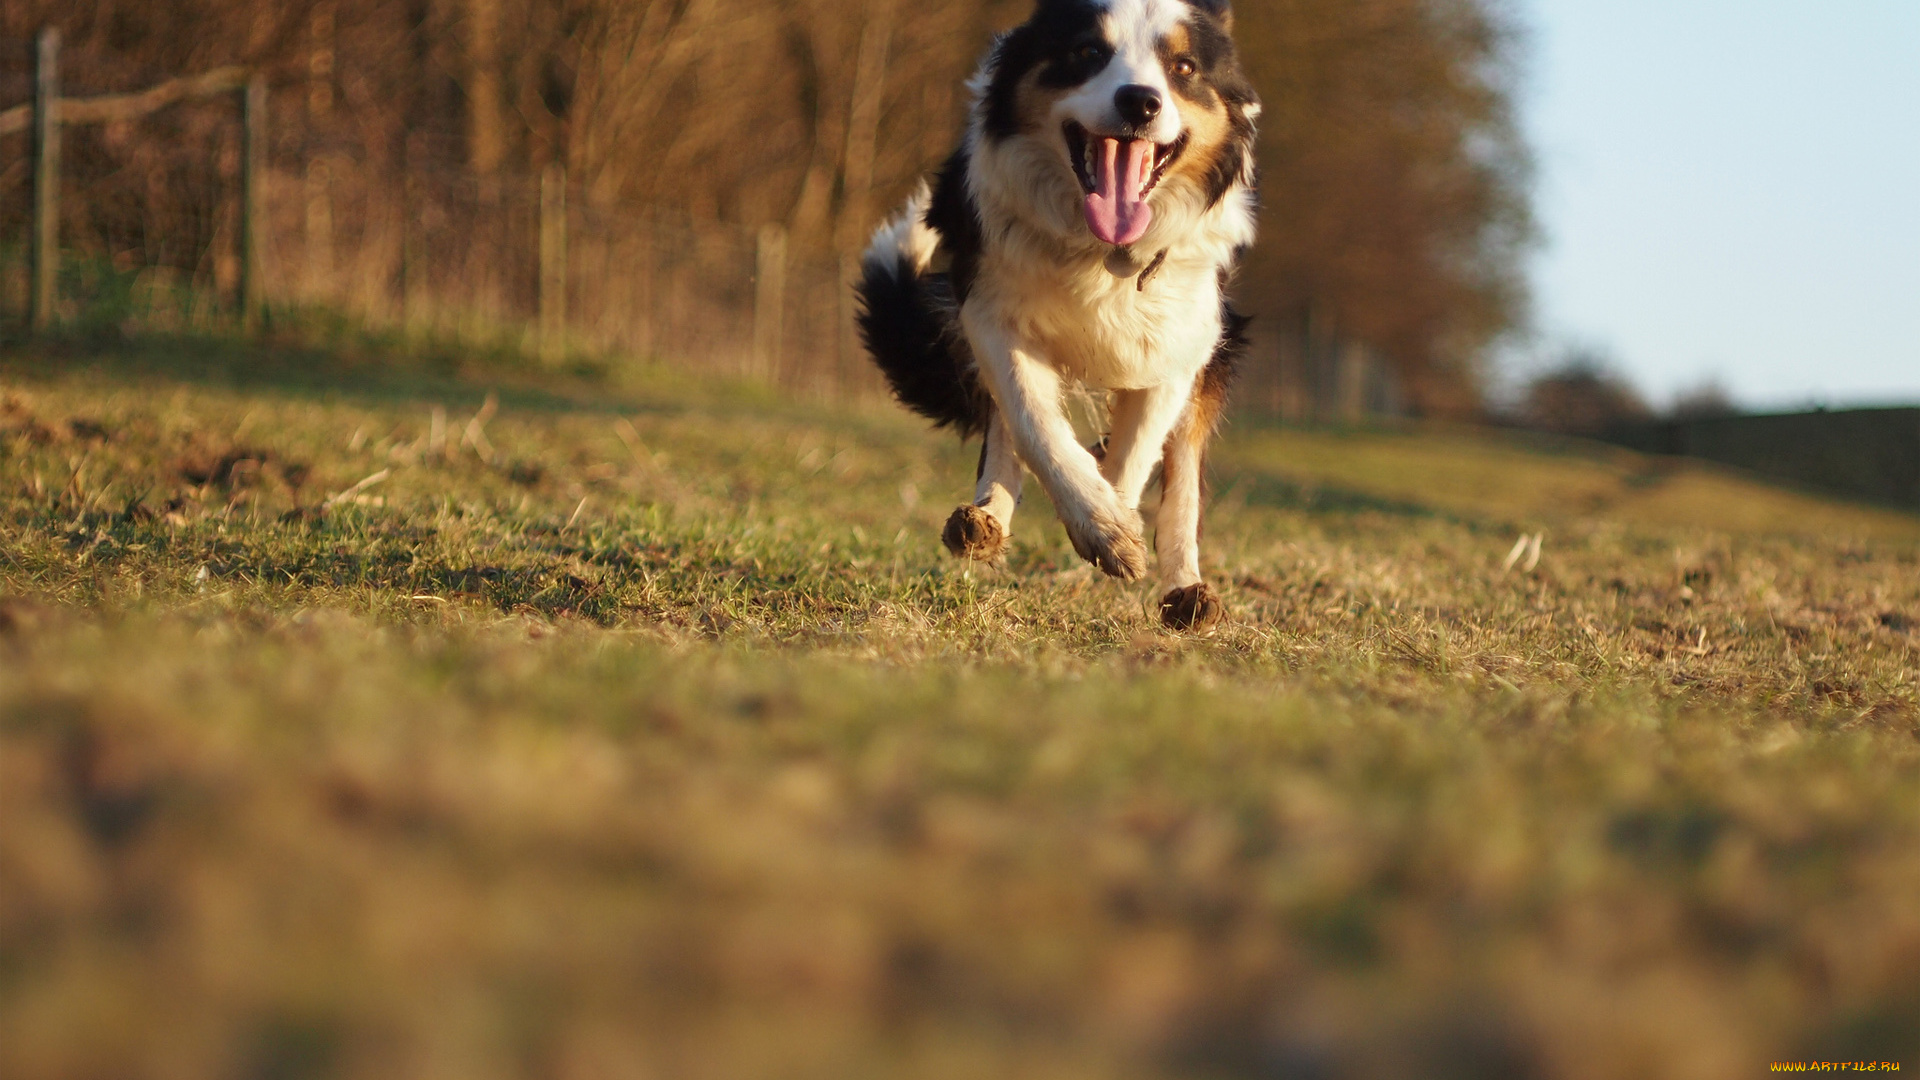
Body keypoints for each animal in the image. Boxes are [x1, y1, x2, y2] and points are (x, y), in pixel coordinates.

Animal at [860, 0, 1259, 630]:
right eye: (1087, 52)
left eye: (1184, 67)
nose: (1140, 102)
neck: (1099, 248)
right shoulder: (989, 308)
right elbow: (1032, 421)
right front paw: (1099, 523)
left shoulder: (1188, 340)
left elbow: (1139, 452)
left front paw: (1113, 518)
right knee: (1008, 429)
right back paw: (984, 520)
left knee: (1181, 477)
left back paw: (1186, 592)